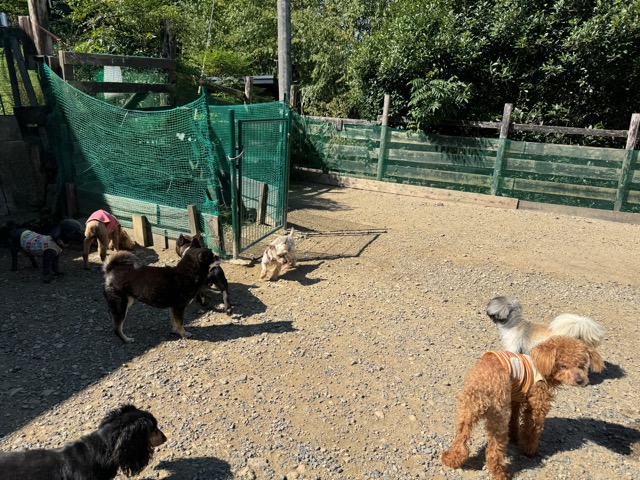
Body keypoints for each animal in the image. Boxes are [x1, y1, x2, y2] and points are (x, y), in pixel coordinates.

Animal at [441, 336, 604, 480]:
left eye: (581, 365)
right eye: (563, 365)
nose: (580, 380)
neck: (543, 365)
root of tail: (482, 385)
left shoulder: (515, 399)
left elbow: (514, 420)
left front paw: (515, 437)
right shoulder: (537, 405)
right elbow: (532, 430)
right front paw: (529, 450)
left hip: (467, 412)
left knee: (461, 441)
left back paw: (451, 459)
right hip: (498, 418)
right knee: (494, 452)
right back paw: (501, 474)